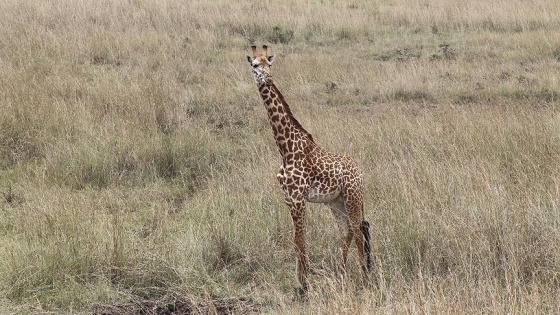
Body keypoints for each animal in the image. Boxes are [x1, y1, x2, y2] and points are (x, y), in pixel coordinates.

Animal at [246, 45, 372, 298]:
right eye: (254, 65)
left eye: (269, 64)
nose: (267, 79)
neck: (285, 148)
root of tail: (360, 172)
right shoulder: (288, 198)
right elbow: (297, 240)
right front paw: (301, 283)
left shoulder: (298, 199)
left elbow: (299, 240)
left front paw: (303, 286)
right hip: (336, 202)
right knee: (346, 232)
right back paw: (340, 274)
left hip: (352, 198)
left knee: (357, 230)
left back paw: (364, 278)